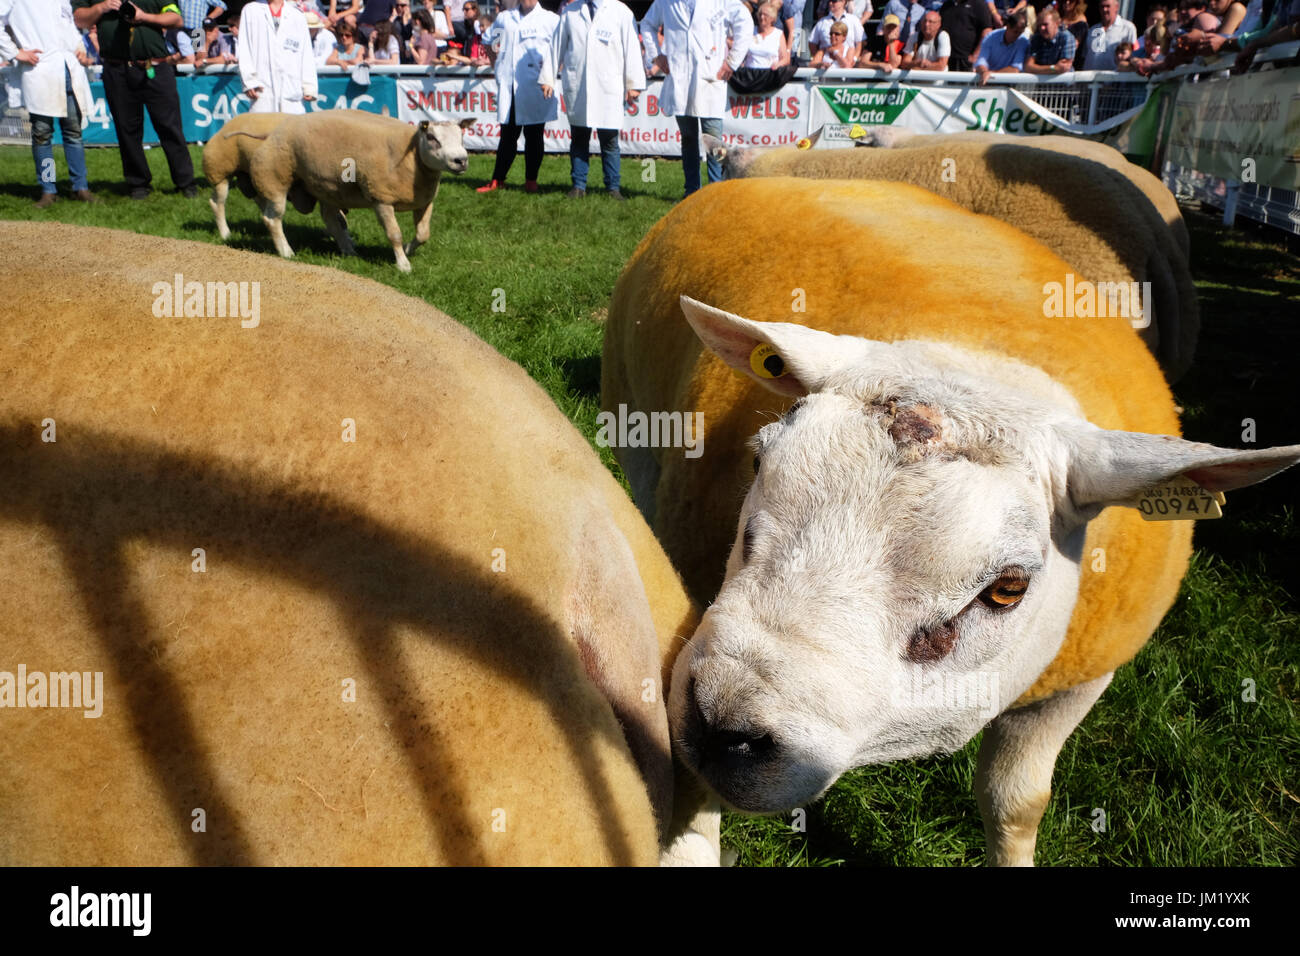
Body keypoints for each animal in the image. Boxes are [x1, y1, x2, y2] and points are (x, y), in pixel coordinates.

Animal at [248, 113, 473, 277]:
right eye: (432, 137)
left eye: (462, 136)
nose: (461, 160)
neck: (413, 156)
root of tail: (272, 132)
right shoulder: (381, 198)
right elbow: (394, 234)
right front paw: (403, 264)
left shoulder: (424, 201)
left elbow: (423, 234)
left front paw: (408, 249)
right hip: (275, 179)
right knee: (272, 219)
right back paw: (286, 252)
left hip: (327, 188)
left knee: (331, 221)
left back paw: (348, 250)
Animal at [600, 175, 1300, 863]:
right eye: (756, 462)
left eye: (1008, 589)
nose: (722, 726)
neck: (986, 359)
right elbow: (690, 821)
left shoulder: (1079, 682)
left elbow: (1017, 805)